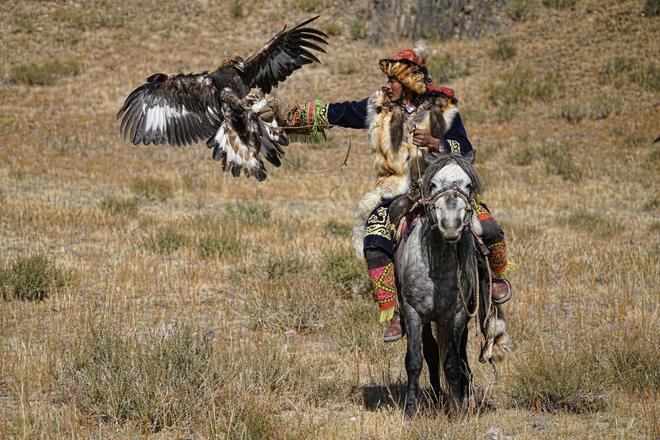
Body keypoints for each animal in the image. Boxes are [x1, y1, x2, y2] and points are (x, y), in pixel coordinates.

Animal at [392, 155, 510, 416]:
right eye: (433, 184)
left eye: (468, 185)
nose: (450, 224)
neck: (437, 269)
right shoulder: (414, 312)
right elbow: (415, 360)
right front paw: (410, 409)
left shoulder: (456, 315)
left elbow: (453, 362)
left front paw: (458, 408)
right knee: (431, 351)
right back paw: (436, 397)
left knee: (461, 355)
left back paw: (464, 395)